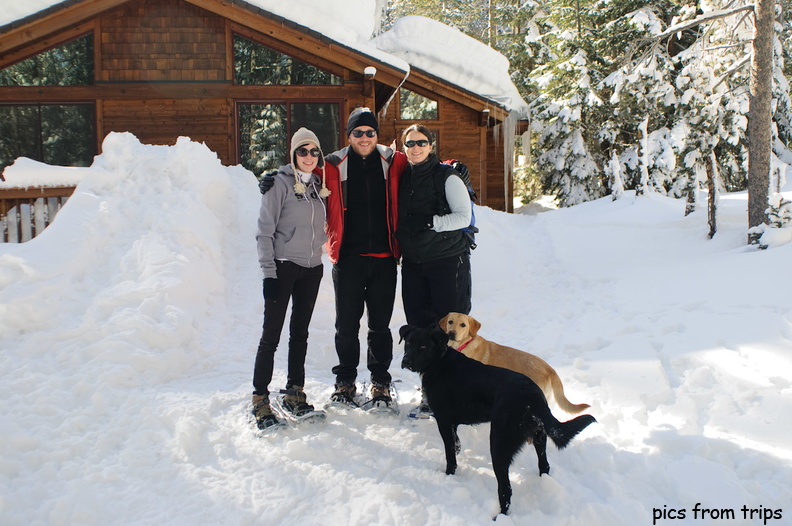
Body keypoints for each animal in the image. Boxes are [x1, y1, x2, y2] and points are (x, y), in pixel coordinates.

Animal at [402, 328, 592, 516]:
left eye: (423, 346)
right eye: (408, 342)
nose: (406, 361)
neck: (439, 361)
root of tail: (533, 399)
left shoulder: (444, 420)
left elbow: (450, 455)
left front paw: (449, 474)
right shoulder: (452, 423)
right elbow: (456, 444)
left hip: (499, 444)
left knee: (506, 489)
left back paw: (499, 516)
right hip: (539, 437)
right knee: (544, 466)